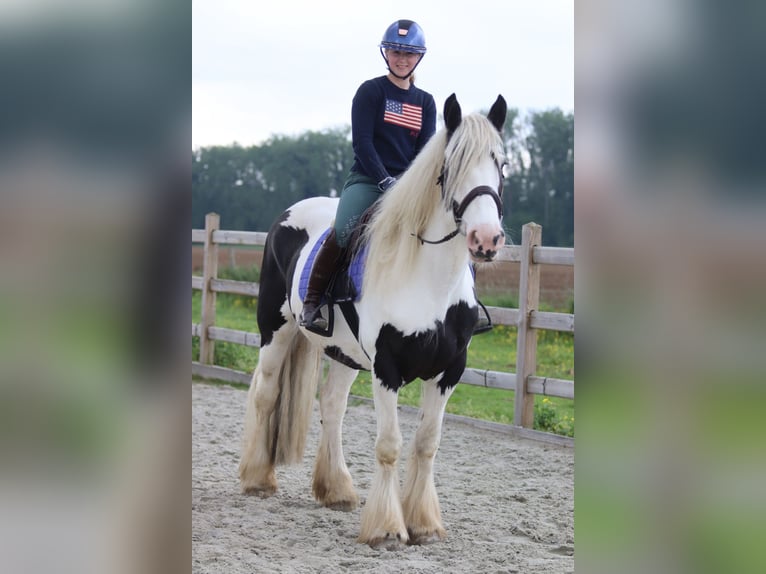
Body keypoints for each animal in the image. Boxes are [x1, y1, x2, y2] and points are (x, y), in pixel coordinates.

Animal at [239, 93, 508, 548]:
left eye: (502, 163)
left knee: (332, 406)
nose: (486, 240)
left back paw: (337, 491)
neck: (428, 280)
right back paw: (258, 480)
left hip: (345, 354)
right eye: (450, 165)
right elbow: (389, 445)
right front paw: (386, 528)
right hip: (276, 331)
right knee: (265, 394)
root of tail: (292, 211)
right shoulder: (387, 368)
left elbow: (427, 444)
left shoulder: (449, 372)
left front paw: (424, 524)